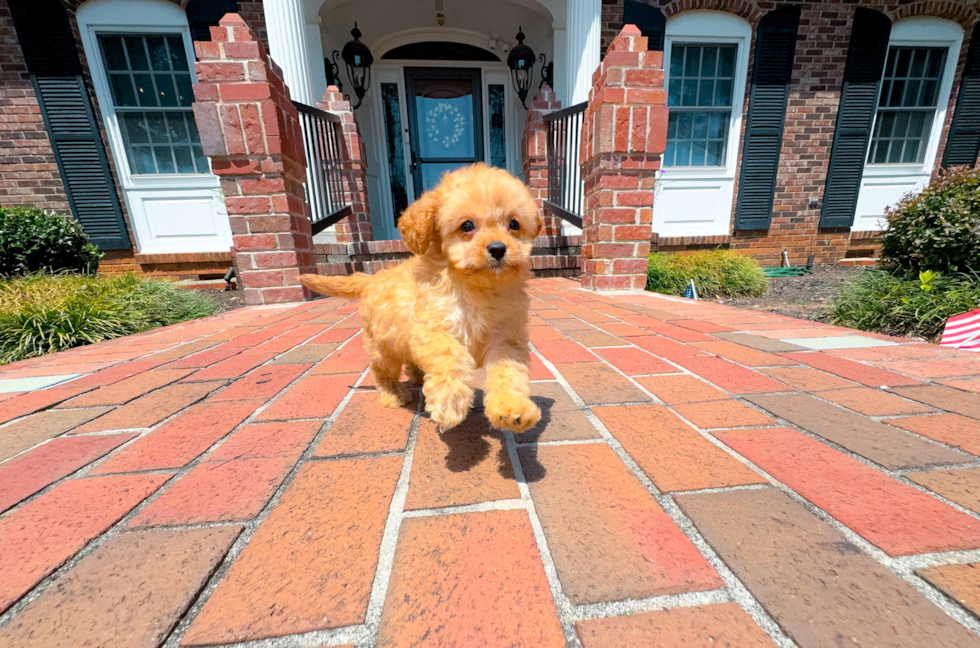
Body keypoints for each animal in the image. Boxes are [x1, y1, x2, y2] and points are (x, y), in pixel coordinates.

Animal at [298, 165, 544, 432]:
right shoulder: (433, 327)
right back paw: (393, 394)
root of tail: (373, 279)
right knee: (382, 371)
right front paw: (449, 402)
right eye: (467, 225)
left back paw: (417, 376)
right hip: (384, 347)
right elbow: (450, 355)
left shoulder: (506, 337)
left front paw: (512, 409)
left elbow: (510, 372)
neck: (478, 287)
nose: (498, 248)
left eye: (514, 224)